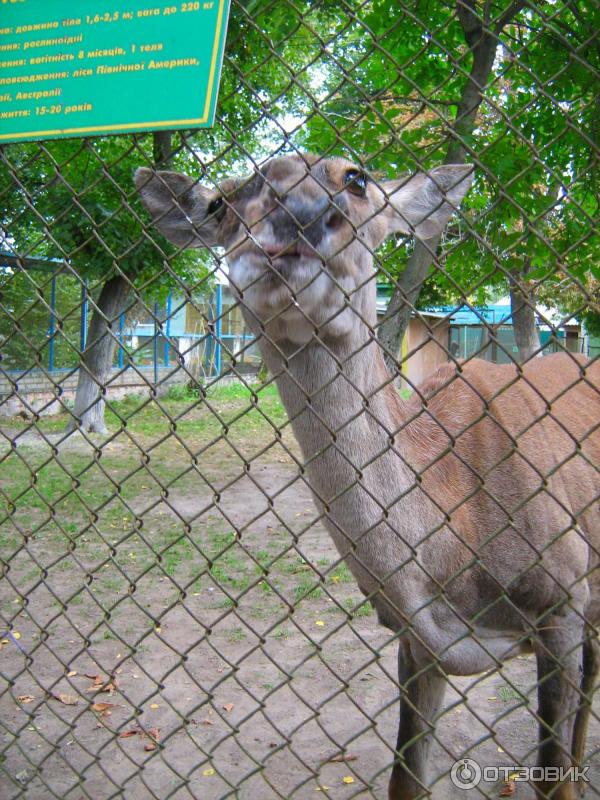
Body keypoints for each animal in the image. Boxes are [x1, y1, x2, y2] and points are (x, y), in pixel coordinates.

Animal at [136, 153, 600, 796]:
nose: (295, 218)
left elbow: (549, 775)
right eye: (222, 203)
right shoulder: (419, 642)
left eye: (356, 178)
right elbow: (405, 776)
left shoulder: (561, 596)